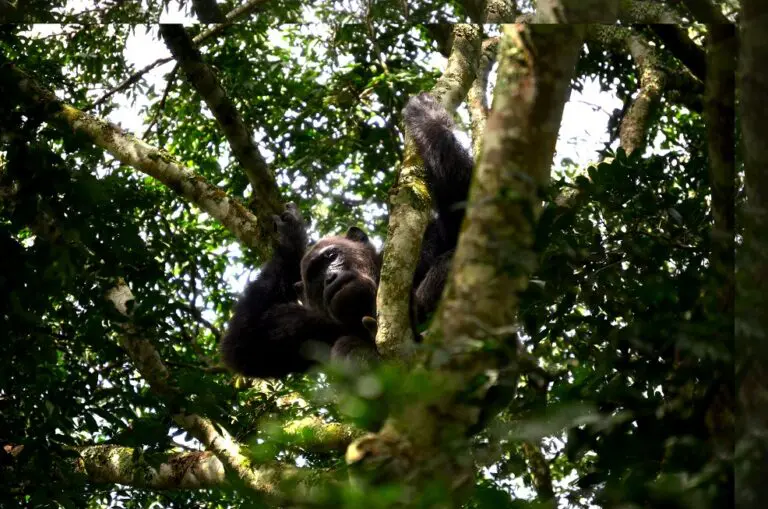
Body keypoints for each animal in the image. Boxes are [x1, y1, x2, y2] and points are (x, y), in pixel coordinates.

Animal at [221, 93, 474, 378]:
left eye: (331, 256)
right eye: (315, 276)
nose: (330, 276)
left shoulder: (428, 244)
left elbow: (466, 215)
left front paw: (426, 116)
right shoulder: (307, 326)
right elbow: (245, 346)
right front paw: (290, 241)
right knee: (346, 346)